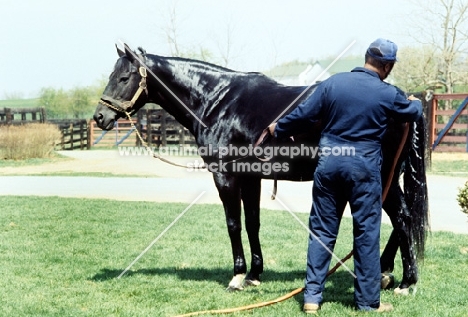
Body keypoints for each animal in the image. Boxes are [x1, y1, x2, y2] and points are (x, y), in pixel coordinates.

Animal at [92, 43, 428, 294]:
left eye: (124, 78)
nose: (99, 117)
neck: (218, 101)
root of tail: (405, 100)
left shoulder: (225, 176)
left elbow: (233, 224)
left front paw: (237, 276)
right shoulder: (251, 177)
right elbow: (253, 222)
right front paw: (255, 274)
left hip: (381, 176)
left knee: (401, 217)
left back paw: (406, 281)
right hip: (391, 177)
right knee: (401, 218)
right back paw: (387, 273)